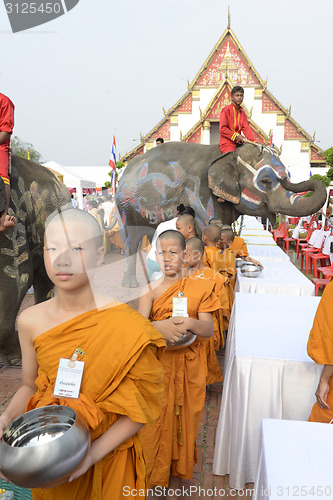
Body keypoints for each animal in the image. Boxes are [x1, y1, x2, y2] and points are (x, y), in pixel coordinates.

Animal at [115, 143, 326, 288]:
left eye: (288, 175)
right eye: (265, 181)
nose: (287, 178)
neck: (228, 154)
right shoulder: (199, 191)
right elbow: (209, 226)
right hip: (123, 207)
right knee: (129, 240)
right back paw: (130, 284)